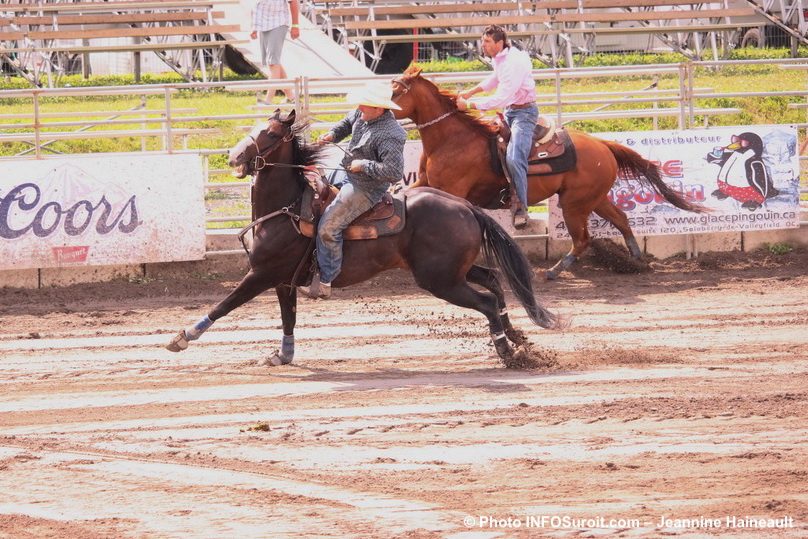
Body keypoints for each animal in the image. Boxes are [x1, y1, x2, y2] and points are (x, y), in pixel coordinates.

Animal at [165, 110, 560, 368]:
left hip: (440, 280)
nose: (233, 156)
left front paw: (181, 337)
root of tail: (465, 207)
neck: (287, 208)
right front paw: (284, 355)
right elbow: (288, 318)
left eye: (272, 134)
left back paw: (508, 353)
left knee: (487, 302)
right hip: (451, 271)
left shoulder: (261, 274)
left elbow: (224, 305)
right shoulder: (282, 281)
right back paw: (517, 338)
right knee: (493, 282)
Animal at [392, 65, 708, 280]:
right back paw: (636, 260)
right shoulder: (425, 182)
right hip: (595, 199)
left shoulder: (451, 190)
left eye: (395, 91)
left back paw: (555, 271)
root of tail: (602, 144)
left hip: (574, 204)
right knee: (622, 219)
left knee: (583, 239)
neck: (453, 140)